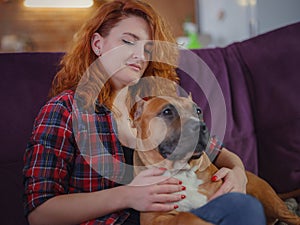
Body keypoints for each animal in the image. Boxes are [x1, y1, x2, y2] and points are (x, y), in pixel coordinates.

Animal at [131, 95, 300, 225]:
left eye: (198, 111)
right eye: (167, 111)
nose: (200, 126)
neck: (183, 171)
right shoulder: (155, 219)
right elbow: (185, 216)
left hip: (272, 203)